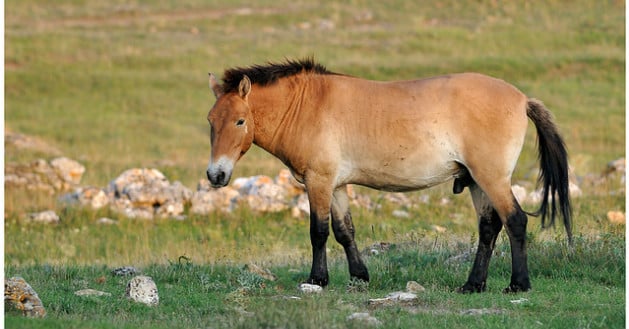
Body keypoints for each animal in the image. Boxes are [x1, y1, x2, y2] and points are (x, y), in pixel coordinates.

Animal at [204, 57, 572, 292]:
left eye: (239, 120)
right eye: (211, 121)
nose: (216, 175)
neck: (307, 106)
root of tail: (522, 99)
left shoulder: (318, 181)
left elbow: (318, 232)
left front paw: (317, 280)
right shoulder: (336, 186)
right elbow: (344, 232)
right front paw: (359, 277)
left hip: (492, 178)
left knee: (515, 221)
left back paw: (518, 284)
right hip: (476, 182)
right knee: (489, 228)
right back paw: (473, 284)